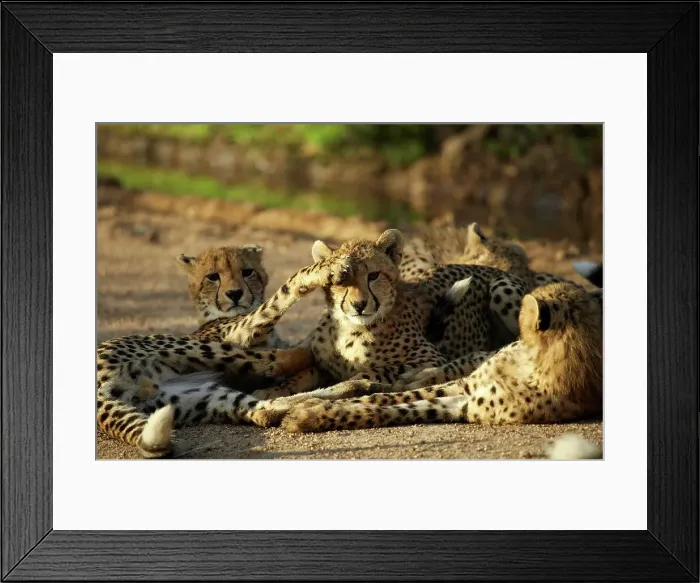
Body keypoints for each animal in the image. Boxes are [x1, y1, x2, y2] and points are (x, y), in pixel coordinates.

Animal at [96, 254, 350, 458]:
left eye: (247, 272)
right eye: (213, 277)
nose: (235, 293)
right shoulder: (237, 332)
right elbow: (281, 295)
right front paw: (327, 268)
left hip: (191, 398)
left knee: (264, 411)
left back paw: (348, 387)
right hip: (188, 346)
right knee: (271, 361)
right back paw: (312, 356)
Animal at [280, 281, 603, 433]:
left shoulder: (465, 405)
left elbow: (396, 408)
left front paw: (310, 412)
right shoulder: (466, 388)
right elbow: (387, 399)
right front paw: (311, 409)